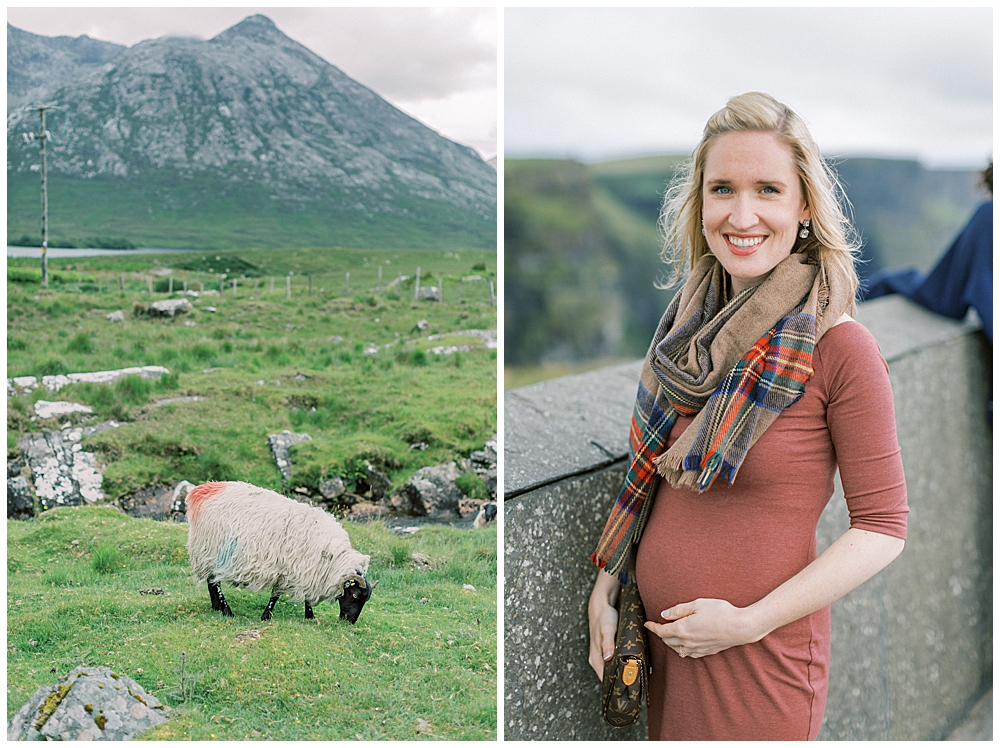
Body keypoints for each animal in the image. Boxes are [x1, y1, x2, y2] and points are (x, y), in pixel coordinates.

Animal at [186, 482, 376, 624]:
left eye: (365, 599)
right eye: (355, 595)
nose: (350, 620)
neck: (332, 560)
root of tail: (201, 492)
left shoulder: (307, 570)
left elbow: (305, 595)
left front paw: (309, 616)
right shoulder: (288, 569)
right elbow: (276, 595)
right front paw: (266, 616)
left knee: (211, 581)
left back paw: (217, 607)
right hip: (210, 549)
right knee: (215, 582)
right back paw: (227, 611)